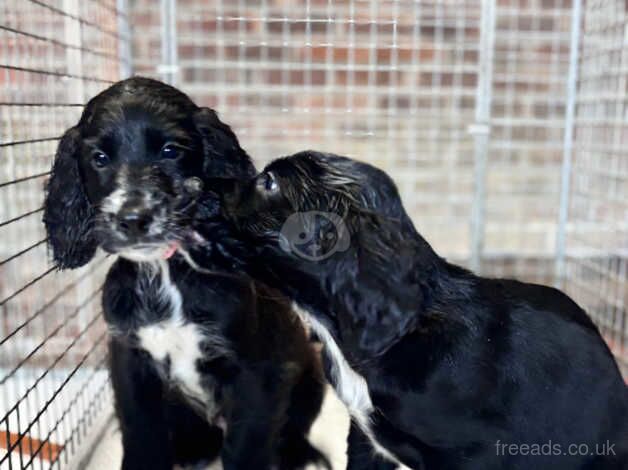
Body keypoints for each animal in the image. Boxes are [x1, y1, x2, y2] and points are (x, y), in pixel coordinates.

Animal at [43, 80, 328, 470]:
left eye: (170, 151)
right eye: (99, 158)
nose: (133, 219)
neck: (165, 274)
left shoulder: (257, 374)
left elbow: (247, 446)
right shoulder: (131, 364)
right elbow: (142, 436)